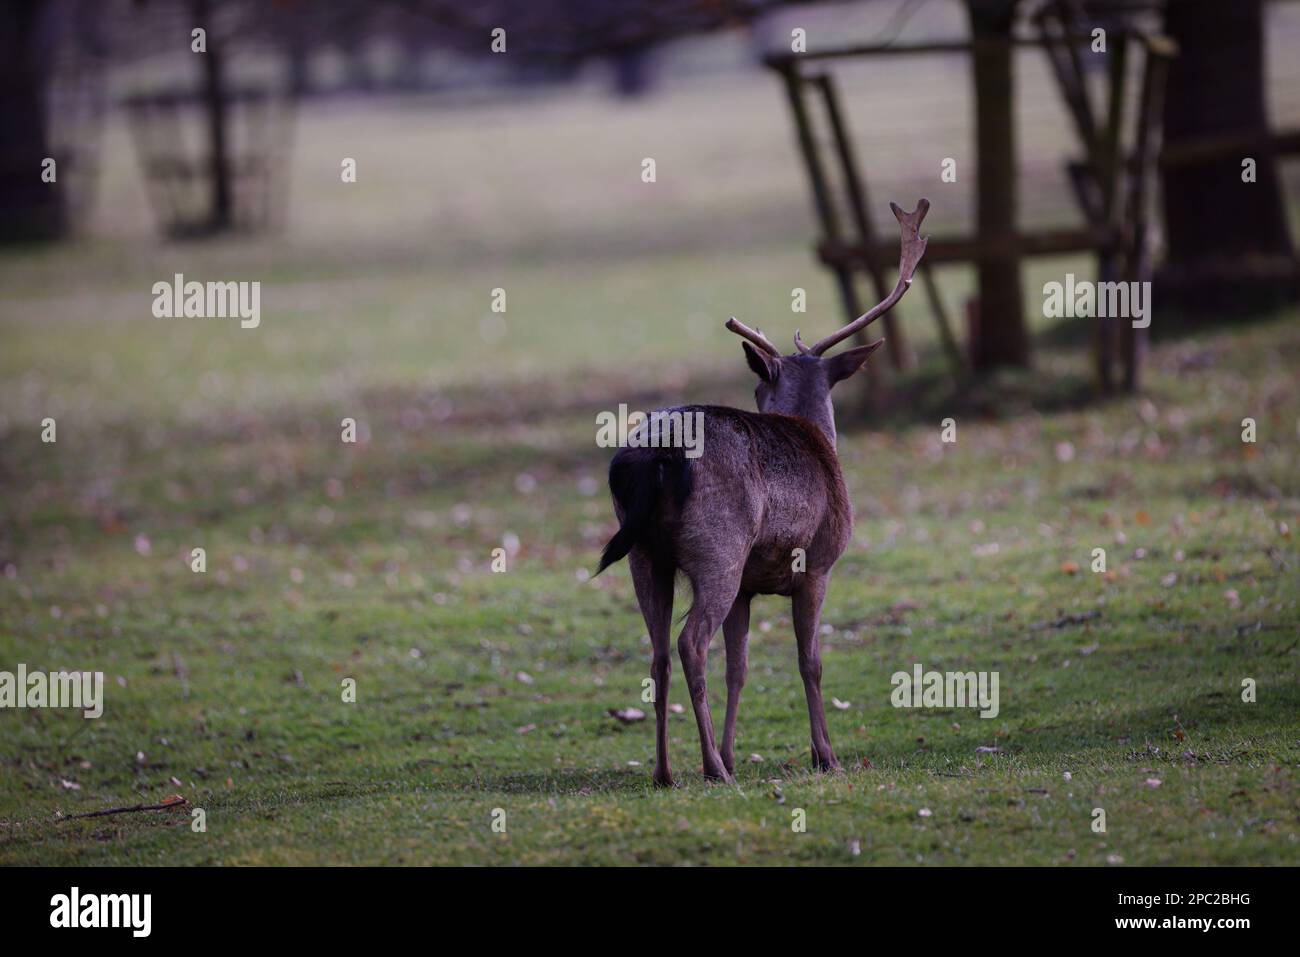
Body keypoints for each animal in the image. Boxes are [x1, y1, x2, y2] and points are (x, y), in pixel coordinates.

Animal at [595, 200, 930, 785]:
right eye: (757, 386)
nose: (756, 389)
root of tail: (654, 454)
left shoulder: (750, 588)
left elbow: (741, 667)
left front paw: (733, 751)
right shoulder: (818, 563)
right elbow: (810, 661)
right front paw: (826, 756)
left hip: (644, 554)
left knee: (658, 652)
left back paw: (667, 771)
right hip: (720, 546)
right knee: (689, 643)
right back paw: (711, 769)